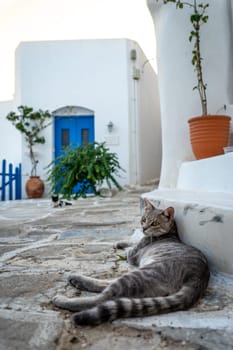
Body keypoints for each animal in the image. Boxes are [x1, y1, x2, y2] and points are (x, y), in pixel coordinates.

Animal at [52, 198, 209, 326]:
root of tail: (199, 277)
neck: (171, 232)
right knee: (107, 286)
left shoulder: (133, 255)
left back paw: (63, 298)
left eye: (154, 223)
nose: (144, 228)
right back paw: (76, 279)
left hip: (141, 274)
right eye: (144, 219)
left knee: (103, 298)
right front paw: (120, 243)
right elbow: (132, 241)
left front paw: (123, 246)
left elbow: (131, 248)